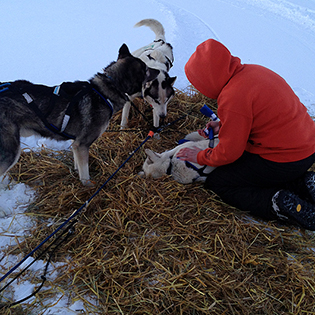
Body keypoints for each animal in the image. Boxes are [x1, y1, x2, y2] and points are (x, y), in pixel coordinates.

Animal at [0, 44, 158, 188]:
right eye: (146, 69)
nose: (158, 70)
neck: (104, 92)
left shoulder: (76, 143)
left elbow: (78, 164)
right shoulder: (82, 144)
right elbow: (85, 172)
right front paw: (88, 185)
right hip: (11, 152)